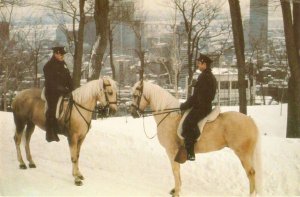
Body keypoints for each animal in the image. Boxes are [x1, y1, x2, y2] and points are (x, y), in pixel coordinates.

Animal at [130, 81, 262, 196]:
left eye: (135, 95)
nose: (132, 113)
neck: (169, 116)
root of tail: (249, 119)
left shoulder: (171, 151)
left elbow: (175, 171)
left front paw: (176, 193)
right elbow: (178, 171)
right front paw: (176, 190)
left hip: (243, 153)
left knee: (251, 173)